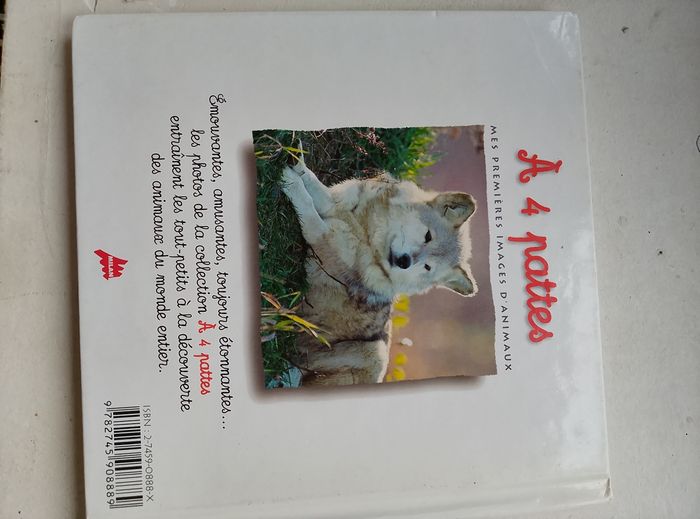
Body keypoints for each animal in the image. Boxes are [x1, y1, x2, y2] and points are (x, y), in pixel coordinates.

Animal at [281, 151, 477, 386]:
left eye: (428, 267)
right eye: (428, 236)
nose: (404, 261)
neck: (368, 236)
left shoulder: (320, 233)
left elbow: (308, 207)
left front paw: (291, 183)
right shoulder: (332, 205)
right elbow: (311, 182)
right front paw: (296, 159)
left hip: (375, 353)